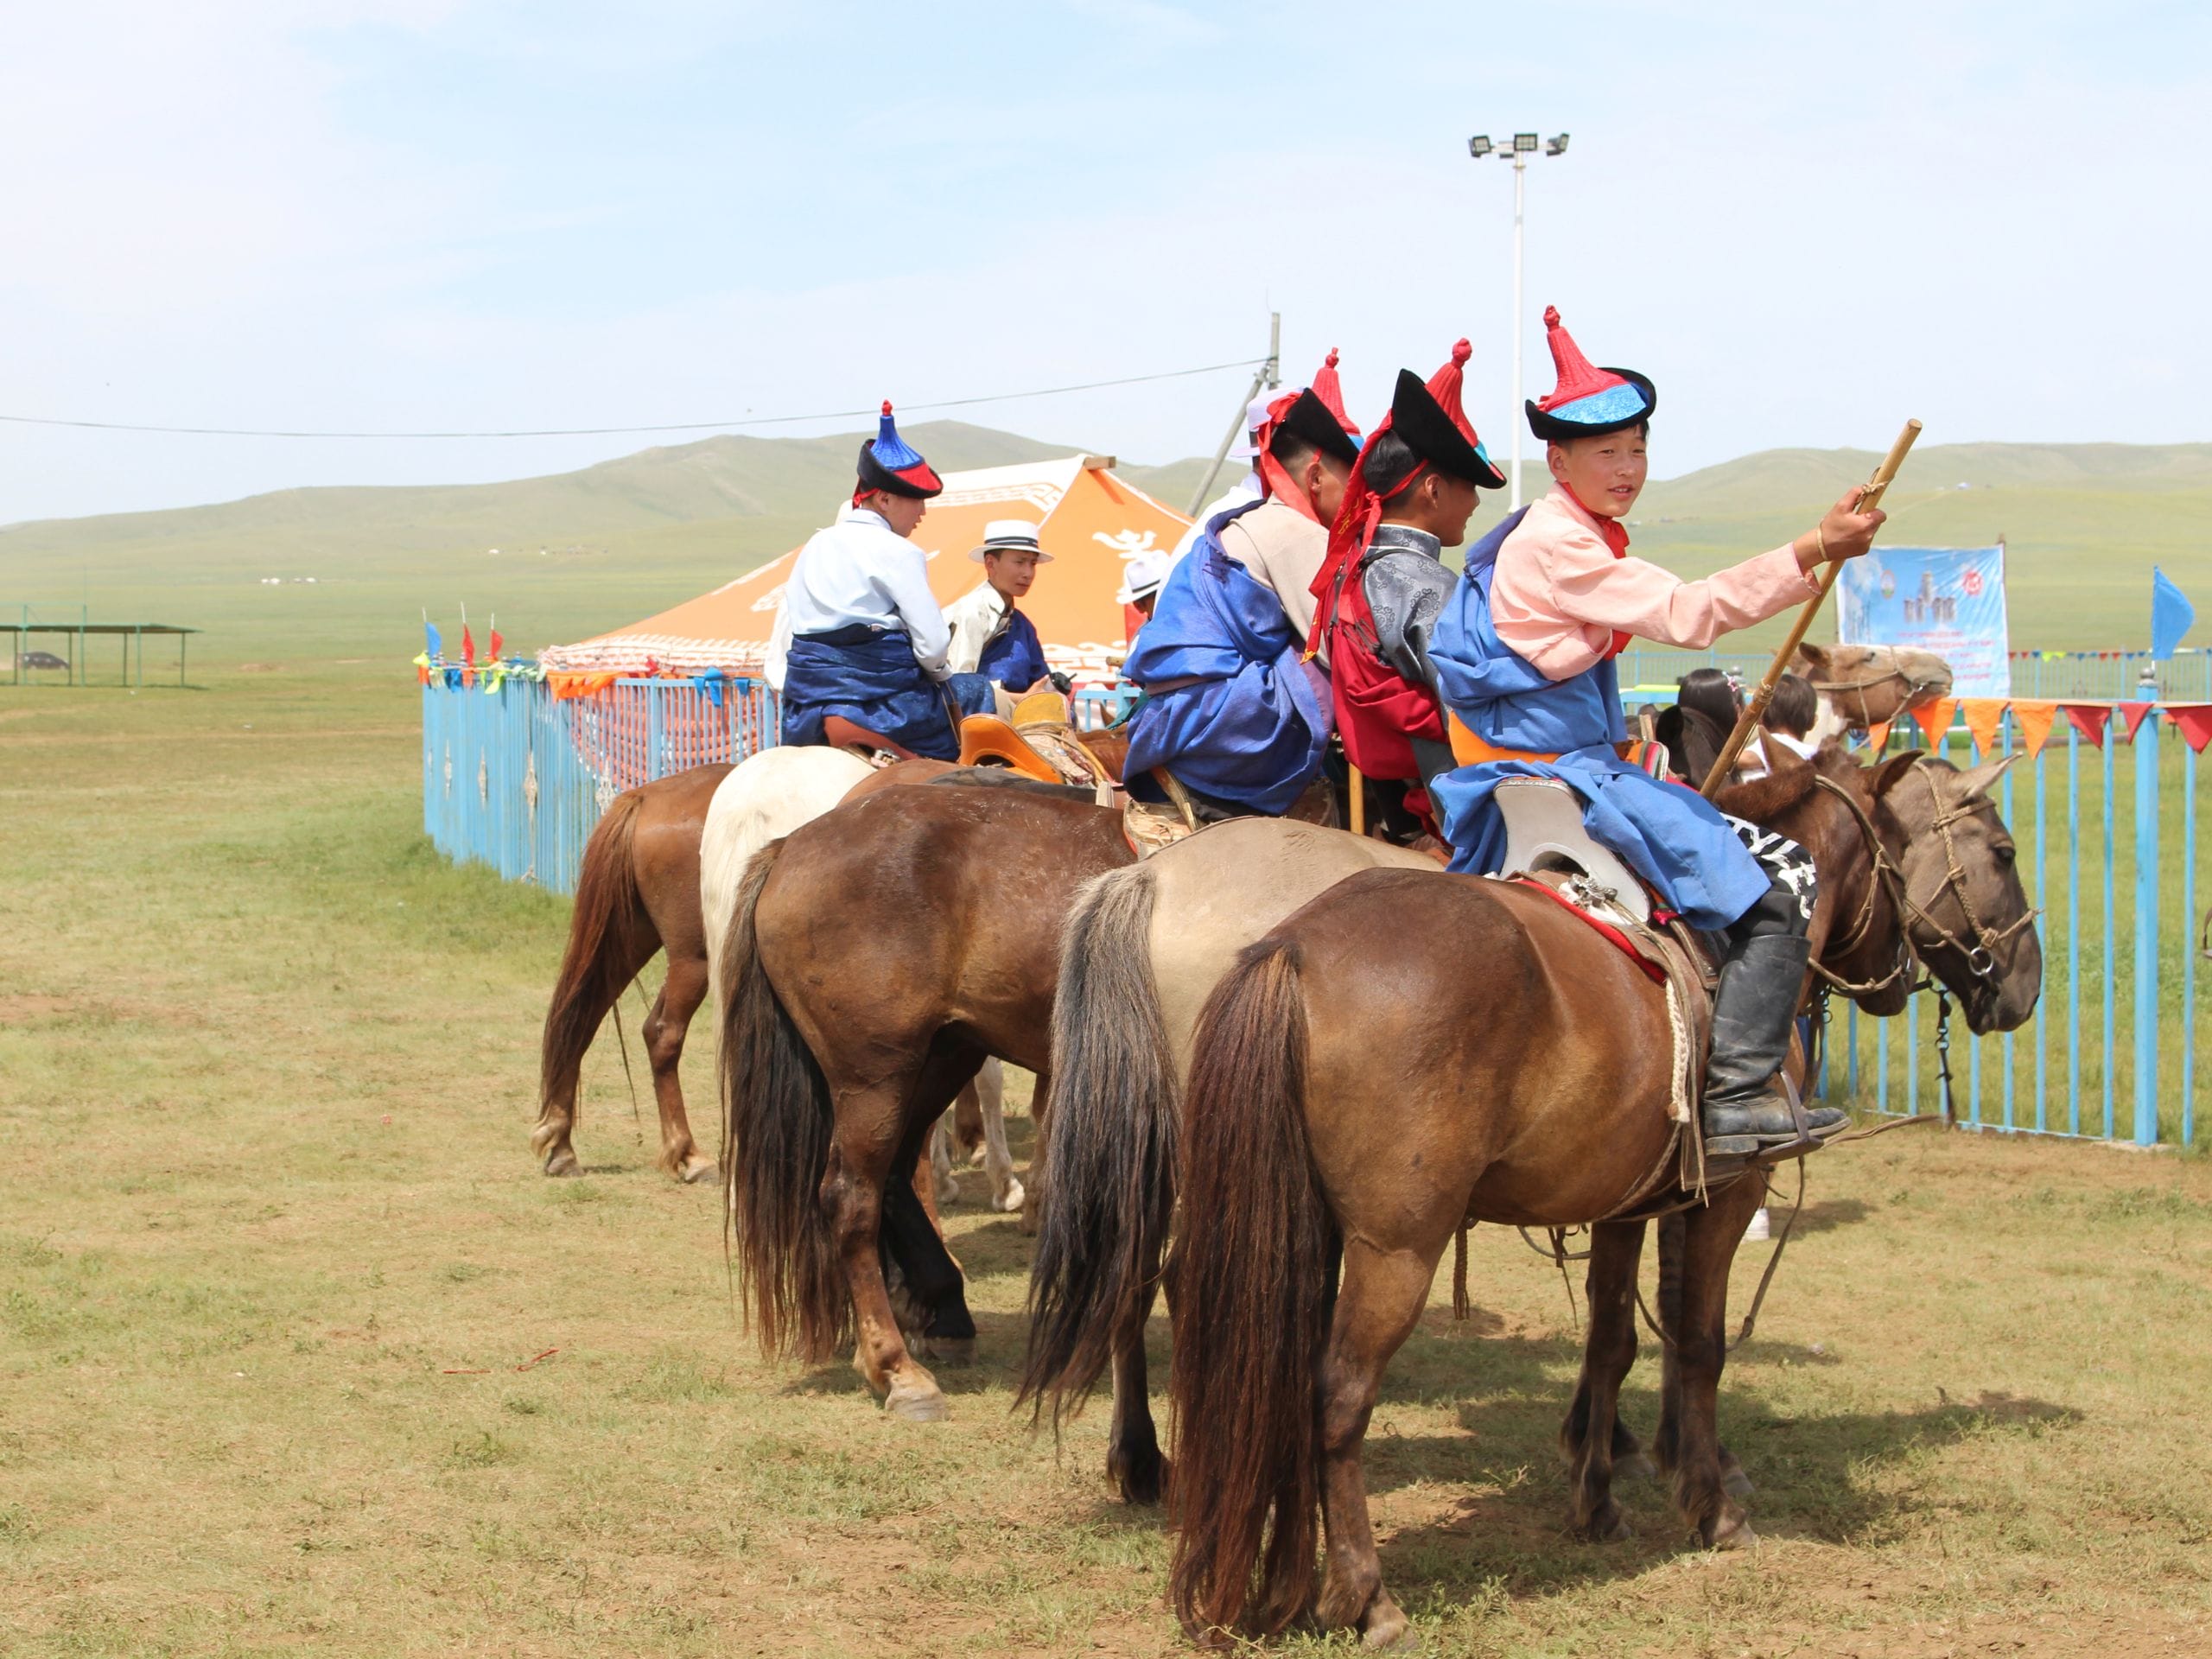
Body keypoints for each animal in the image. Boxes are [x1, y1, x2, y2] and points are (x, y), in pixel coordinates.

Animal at [716, 779, 1132, 1433]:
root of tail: (788, 848)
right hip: (876, 1075)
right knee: (851, 1198)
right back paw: (897, 1369)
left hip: (940, 1057)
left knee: (892, 1180)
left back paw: (940, 1314)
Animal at [1035, 752, 2035, 1654]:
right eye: (2002, 848)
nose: (2021, 987)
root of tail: (1290, 948)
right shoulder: (1721, 1194)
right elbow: (1698, 1343)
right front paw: (1710, 1502)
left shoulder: (1627, 1198)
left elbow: (1614, 1338)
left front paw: (1597, 1494)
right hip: (1391, 1247)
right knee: (1331, 1394)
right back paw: (1360, 1594)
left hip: (1278, 1220)